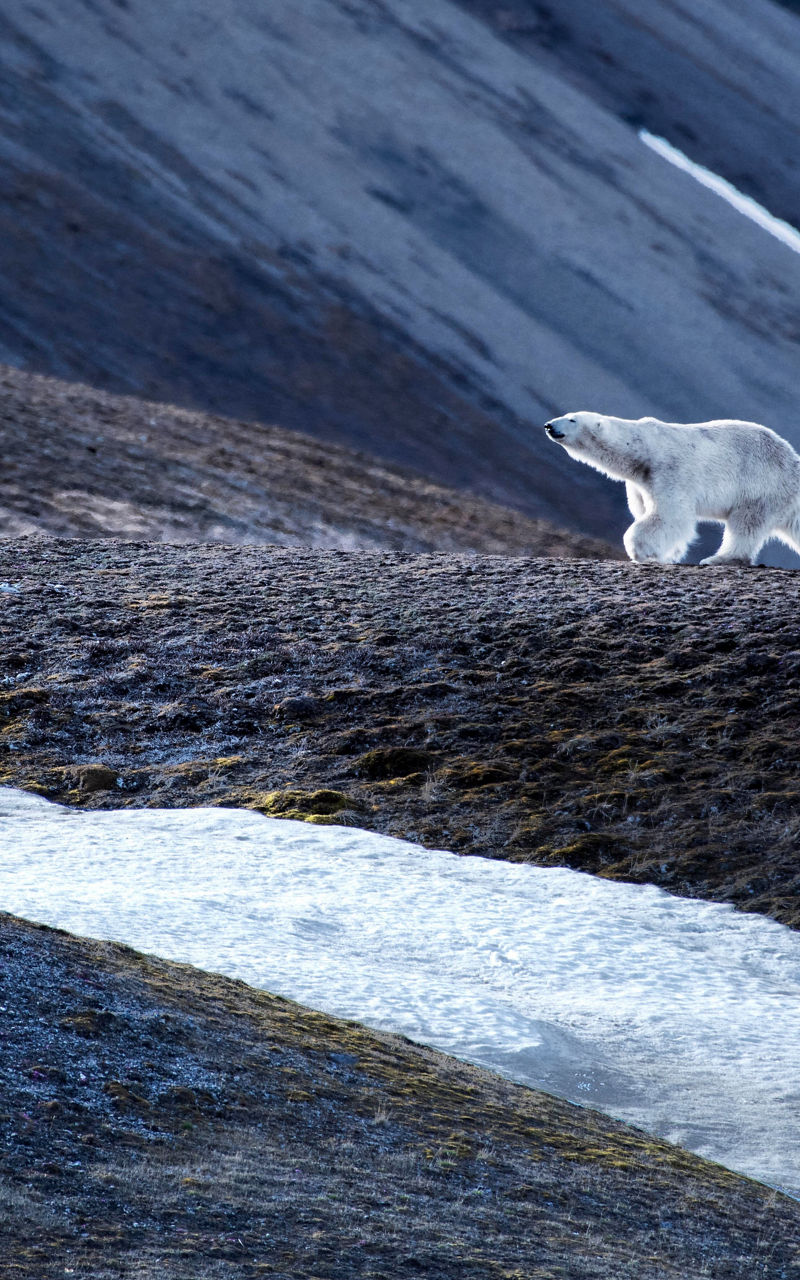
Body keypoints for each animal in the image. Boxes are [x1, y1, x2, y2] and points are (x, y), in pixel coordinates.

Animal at [544, 411, 800, 566]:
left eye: (572, 419)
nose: (548, 425)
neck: (645, 448)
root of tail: (793, 463)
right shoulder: (639, 483)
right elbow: (646, 511)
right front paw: (669, 554)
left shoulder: (670, 470)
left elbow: (669, 515)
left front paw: (642, 552)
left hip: (762, 488)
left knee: (745, 524)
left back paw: (719, 558)